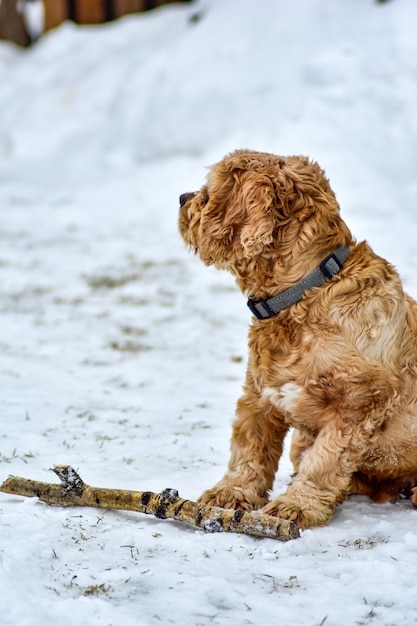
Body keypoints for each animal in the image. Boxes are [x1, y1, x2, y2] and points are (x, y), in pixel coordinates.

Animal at [177, 149, 416, 524]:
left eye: (211, 190)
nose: (183, 197)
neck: (305, 291)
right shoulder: (260, 392)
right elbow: (249, 447)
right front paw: (231, 493)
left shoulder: (358, 404)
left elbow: (324, 460)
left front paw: (296, 506)